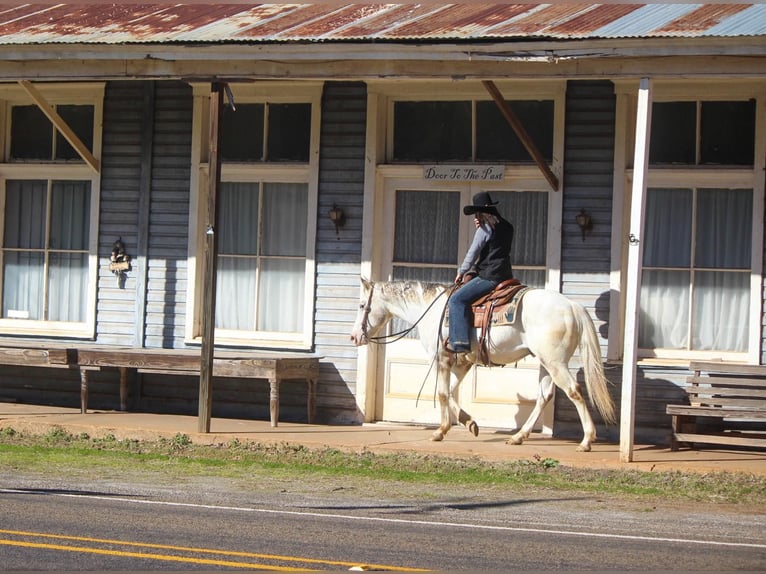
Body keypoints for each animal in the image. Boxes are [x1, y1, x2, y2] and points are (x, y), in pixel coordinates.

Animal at [352, 280, 616, 454]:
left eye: (362, 304)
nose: (354, 337)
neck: (432, 311)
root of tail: (572, 305)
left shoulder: (441, 359)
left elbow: (442, 393)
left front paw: (440, 431)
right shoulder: (461, 363)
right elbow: (450, 392)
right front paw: (469, 423)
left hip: (555, 362)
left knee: (574, 391)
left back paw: (586, 441)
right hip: (546, 364)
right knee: (544, 396)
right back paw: (518, 437)